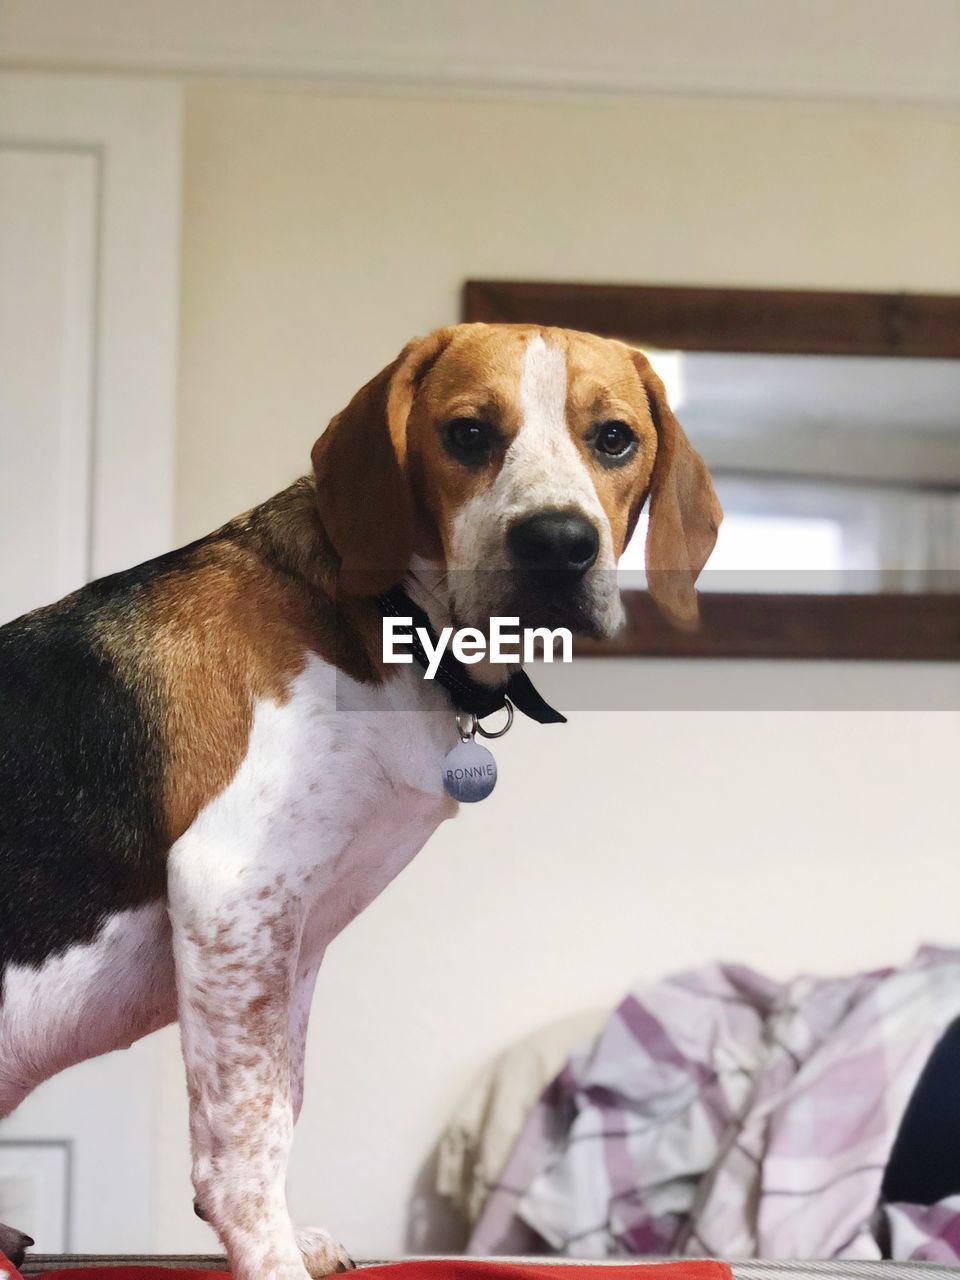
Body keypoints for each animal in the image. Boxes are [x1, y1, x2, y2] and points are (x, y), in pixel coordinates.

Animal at [0, 322, 721, 1280]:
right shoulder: (232, 892)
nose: (558, 544)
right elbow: (248, 1132)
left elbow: (284, 1100)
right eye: (467, 434)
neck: (386, 617)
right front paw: (268, 1257)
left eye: (614, 438)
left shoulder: (294, 936)